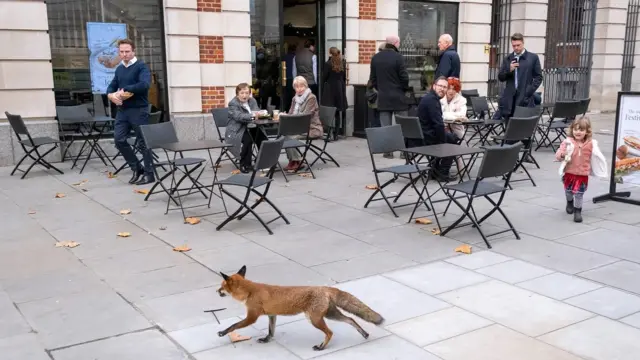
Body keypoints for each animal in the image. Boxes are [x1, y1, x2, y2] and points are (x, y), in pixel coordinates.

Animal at [215, 264, 384, 352]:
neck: (250, 291)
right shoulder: (272, 315)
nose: (217, 292)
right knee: (350, 319)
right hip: (330, 315)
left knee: (330, 332)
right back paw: (364, 334)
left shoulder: (252, 316)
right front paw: (267, 340)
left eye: (222, 286)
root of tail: (324, 288)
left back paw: (321, 347)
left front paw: (223, 332)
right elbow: (271, 331)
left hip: (314, 319)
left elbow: (233, 325)